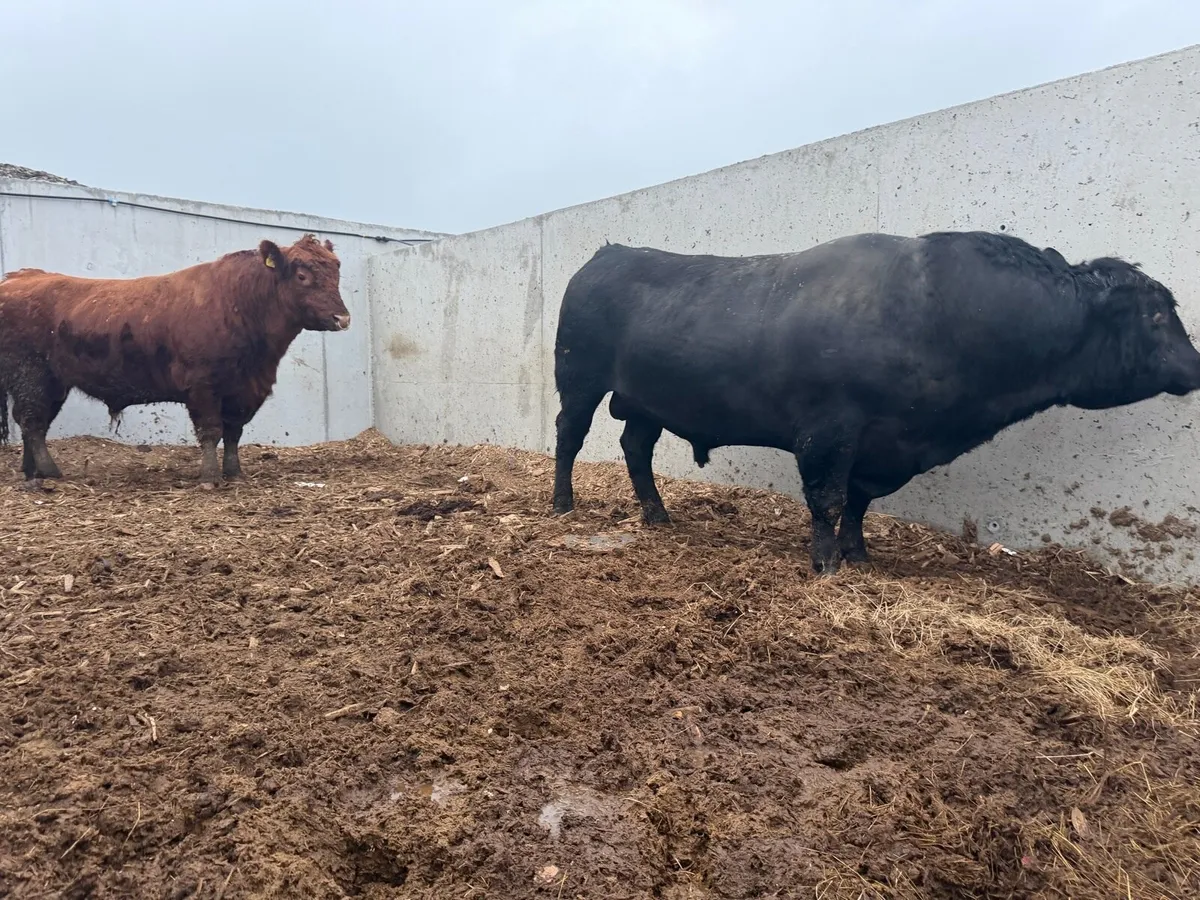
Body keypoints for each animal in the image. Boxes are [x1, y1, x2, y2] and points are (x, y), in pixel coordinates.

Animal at [0, 234, 349, 489]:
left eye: (336, 273)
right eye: (302, 275)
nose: (342, 318)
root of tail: (18, 277)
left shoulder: (245, 390)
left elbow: (234, 432)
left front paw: (234, 472)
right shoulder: (202, 385)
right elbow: (211, 431)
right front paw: (209, 477)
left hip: (53, 382)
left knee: (36, 422)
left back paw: (32, 470)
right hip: (31, 375)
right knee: (32, 421)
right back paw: (49, 471)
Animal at [551, 230, 1200, 575]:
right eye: (1156, 315)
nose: (1196, 366)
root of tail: (608, 253)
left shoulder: (880, 446)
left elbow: (859, 504)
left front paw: (859, 555)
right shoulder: (828, 431)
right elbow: (828, 498)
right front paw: (826, 564)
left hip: (645, 402)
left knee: (635, 447)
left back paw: (657, 515)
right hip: (578, 379)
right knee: (569, 436)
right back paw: (562, 504)